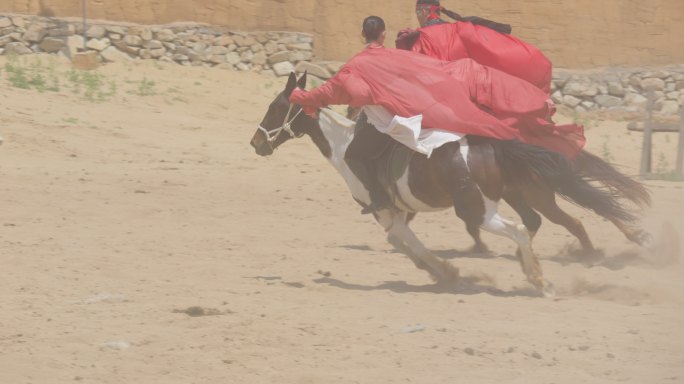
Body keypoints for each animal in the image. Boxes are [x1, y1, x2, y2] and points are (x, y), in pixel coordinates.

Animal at [250, 73, 648, 296]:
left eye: (275, 107)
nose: (256, 143)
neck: (344, 144)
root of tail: (495, 144)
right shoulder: (398, 211)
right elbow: (401, 242)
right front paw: (441, 271)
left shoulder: (384, 210)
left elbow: (403, 241)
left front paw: (447, 271)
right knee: (540, 224)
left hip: (480, 208)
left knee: (523, 228)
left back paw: (540, 280)